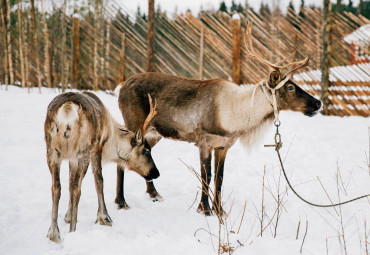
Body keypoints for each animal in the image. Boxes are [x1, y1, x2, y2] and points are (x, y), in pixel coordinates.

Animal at [43, 91, 159, 241]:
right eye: (146, 151)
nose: (156, 173)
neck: (111, 135)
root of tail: (68, 107)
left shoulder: (71, 158)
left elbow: (69, 181)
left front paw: (67, 217)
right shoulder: (96, 149)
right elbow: (99, 180)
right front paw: (104, 217)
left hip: (52, 150)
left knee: (57, 187)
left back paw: (53, 233)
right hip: (83, 150)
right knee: (77, 188)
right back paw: (73, 230)